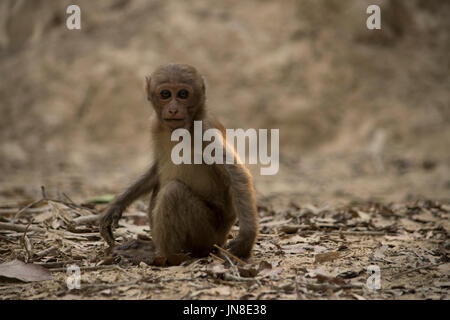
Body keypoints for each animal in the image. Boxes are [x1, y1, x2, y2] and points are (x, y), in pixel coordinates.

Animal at [100, 63, 258, 260]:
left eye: (183, 94)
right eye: (165, 94)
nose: (173, 109)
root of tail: (220, 239)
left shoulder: (205, 128)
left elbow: (236, 175)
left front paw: (245, 240)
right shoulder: (156, 126)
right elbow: (156, 171)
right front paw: (116, 206)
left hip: (206, 235)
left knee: (173, 192)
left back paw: (163, 257)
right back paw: (151, 248)